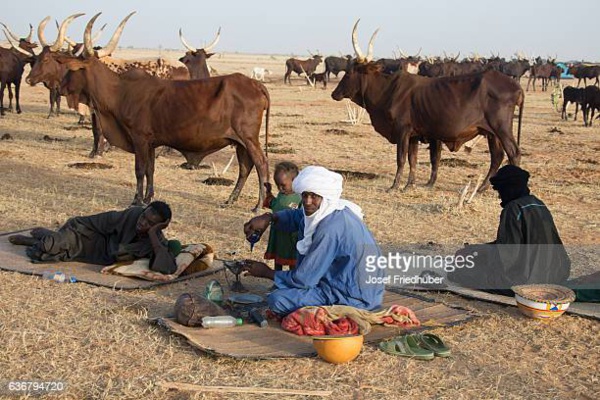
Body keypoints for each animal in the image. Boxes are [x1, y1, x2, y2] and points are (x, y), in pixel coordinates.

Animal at [56, 13, 272, 209]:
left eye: (72, 69)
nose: (60, 87)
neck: (120, 90)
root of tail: (255, 84)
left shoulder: (139, 139)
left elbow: (139, 170)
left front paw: (136, 200)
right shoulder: (151, 143)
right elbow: (150, 170)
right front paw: (148, 198)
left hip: (248, 138)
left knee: (261, 163)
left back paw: (258, 205)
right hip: (240, 142)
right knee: (245, 167)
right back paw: (230, 200)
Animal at [330, 20, 524, 192]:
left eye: (349, 72)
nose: (334, 94)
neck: (387, 89)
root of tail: (515, 86)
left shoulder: (402, 130)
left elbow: (401, 158)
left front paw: (394, 186)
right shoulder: (414, 135)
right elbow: (413, 159)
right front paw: (409, 185)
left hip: (501, 128)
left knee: (513, 153)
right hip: (492, 133)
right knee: (497, 157)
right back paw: (482, 188)